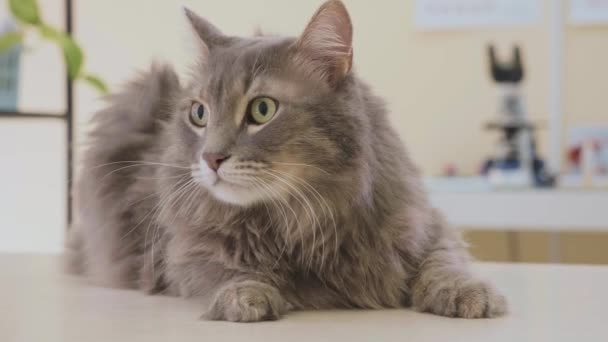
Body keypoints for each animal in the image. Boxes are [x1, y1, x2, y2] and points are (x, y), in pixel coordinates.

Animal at [66, 0, 506, 320]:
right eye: (199, 114)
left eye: (262, 110)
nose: (211, 157)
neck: (300, 218)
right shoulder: (185, 253)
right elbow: (227, 268)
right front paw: (245, 295)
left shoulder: (424, 224)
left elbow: (444, 262)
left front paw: (467, 291)